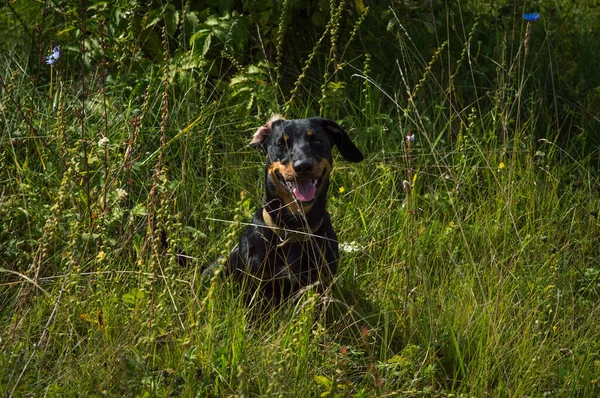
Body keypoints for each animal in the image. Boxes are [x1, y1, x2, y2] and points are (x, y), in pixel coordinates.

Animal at [225, 115, 364, 304]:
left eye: (317, 141)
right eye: (281, 144)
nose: (303, 166)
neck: (293, 230)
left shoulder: (320, 282)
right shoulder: (257, 287)